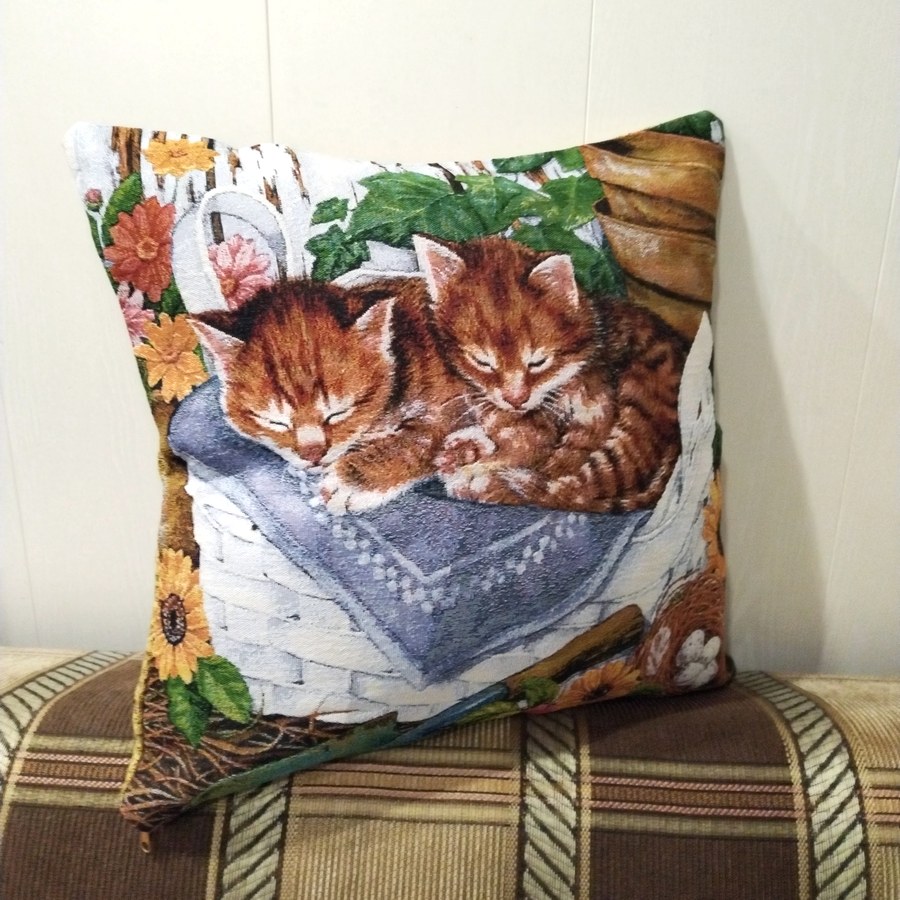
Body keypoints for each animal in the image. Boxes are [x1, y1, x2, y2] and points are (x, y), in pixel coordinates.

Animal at [189, 275, 468, 514]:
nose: (313, 454)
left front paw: (349, 483)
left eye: (338, 413)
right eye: (275, 422)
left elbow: (422, 438)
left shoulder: (458, 404)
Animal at [413, 234, 688, 513]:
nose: (516, 399)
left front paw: (476, 471)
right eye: (482, 362)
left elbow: (541, 459)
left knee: (587, 486)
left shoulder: (593, 406)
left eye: (538, 362)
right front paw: (467, 448)